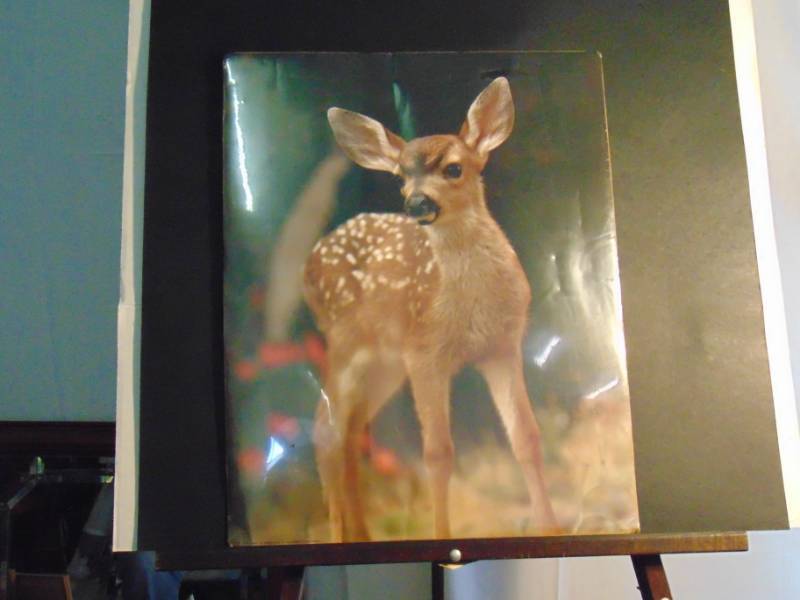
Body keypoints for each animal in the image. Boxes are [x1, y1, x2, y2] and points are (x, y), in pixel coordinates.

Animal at [304, 77, 558, 542]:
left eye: (453, 168)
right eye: (400, 176)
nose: (416, 203)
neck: (472, 307)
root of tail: (307, 266)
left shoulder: (502, 347)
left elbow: (526, 438)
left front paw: (551, 527)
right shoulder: (425, 352)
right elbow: (437, 453)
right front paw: (442, 535)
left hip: (386, 364)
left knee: (350, 432)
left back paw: (362, 536)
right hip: (346, 344)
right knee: (325, 428)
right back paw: (338, 536)